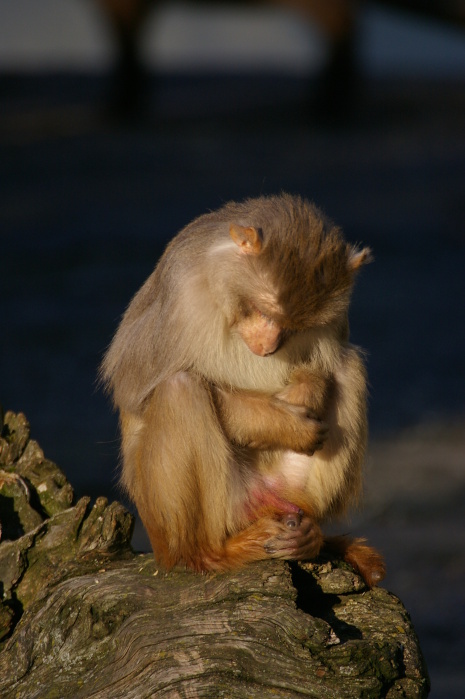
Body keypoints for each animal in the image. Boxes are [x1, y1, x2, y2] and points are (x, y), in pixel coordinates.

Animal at [101, 194, 384, 588]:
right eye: (262, 310)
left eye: (294, 326)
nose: (268, 345)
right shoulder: (180, 298)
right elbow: (133, 391)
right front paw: (282, 424)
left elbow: (329, 365)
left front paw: (307, 391)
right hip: (195, 513)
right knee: (179, 389)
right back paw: (208, 552)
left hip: (286, 490)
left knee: (350, 365)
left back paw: (309, 537)